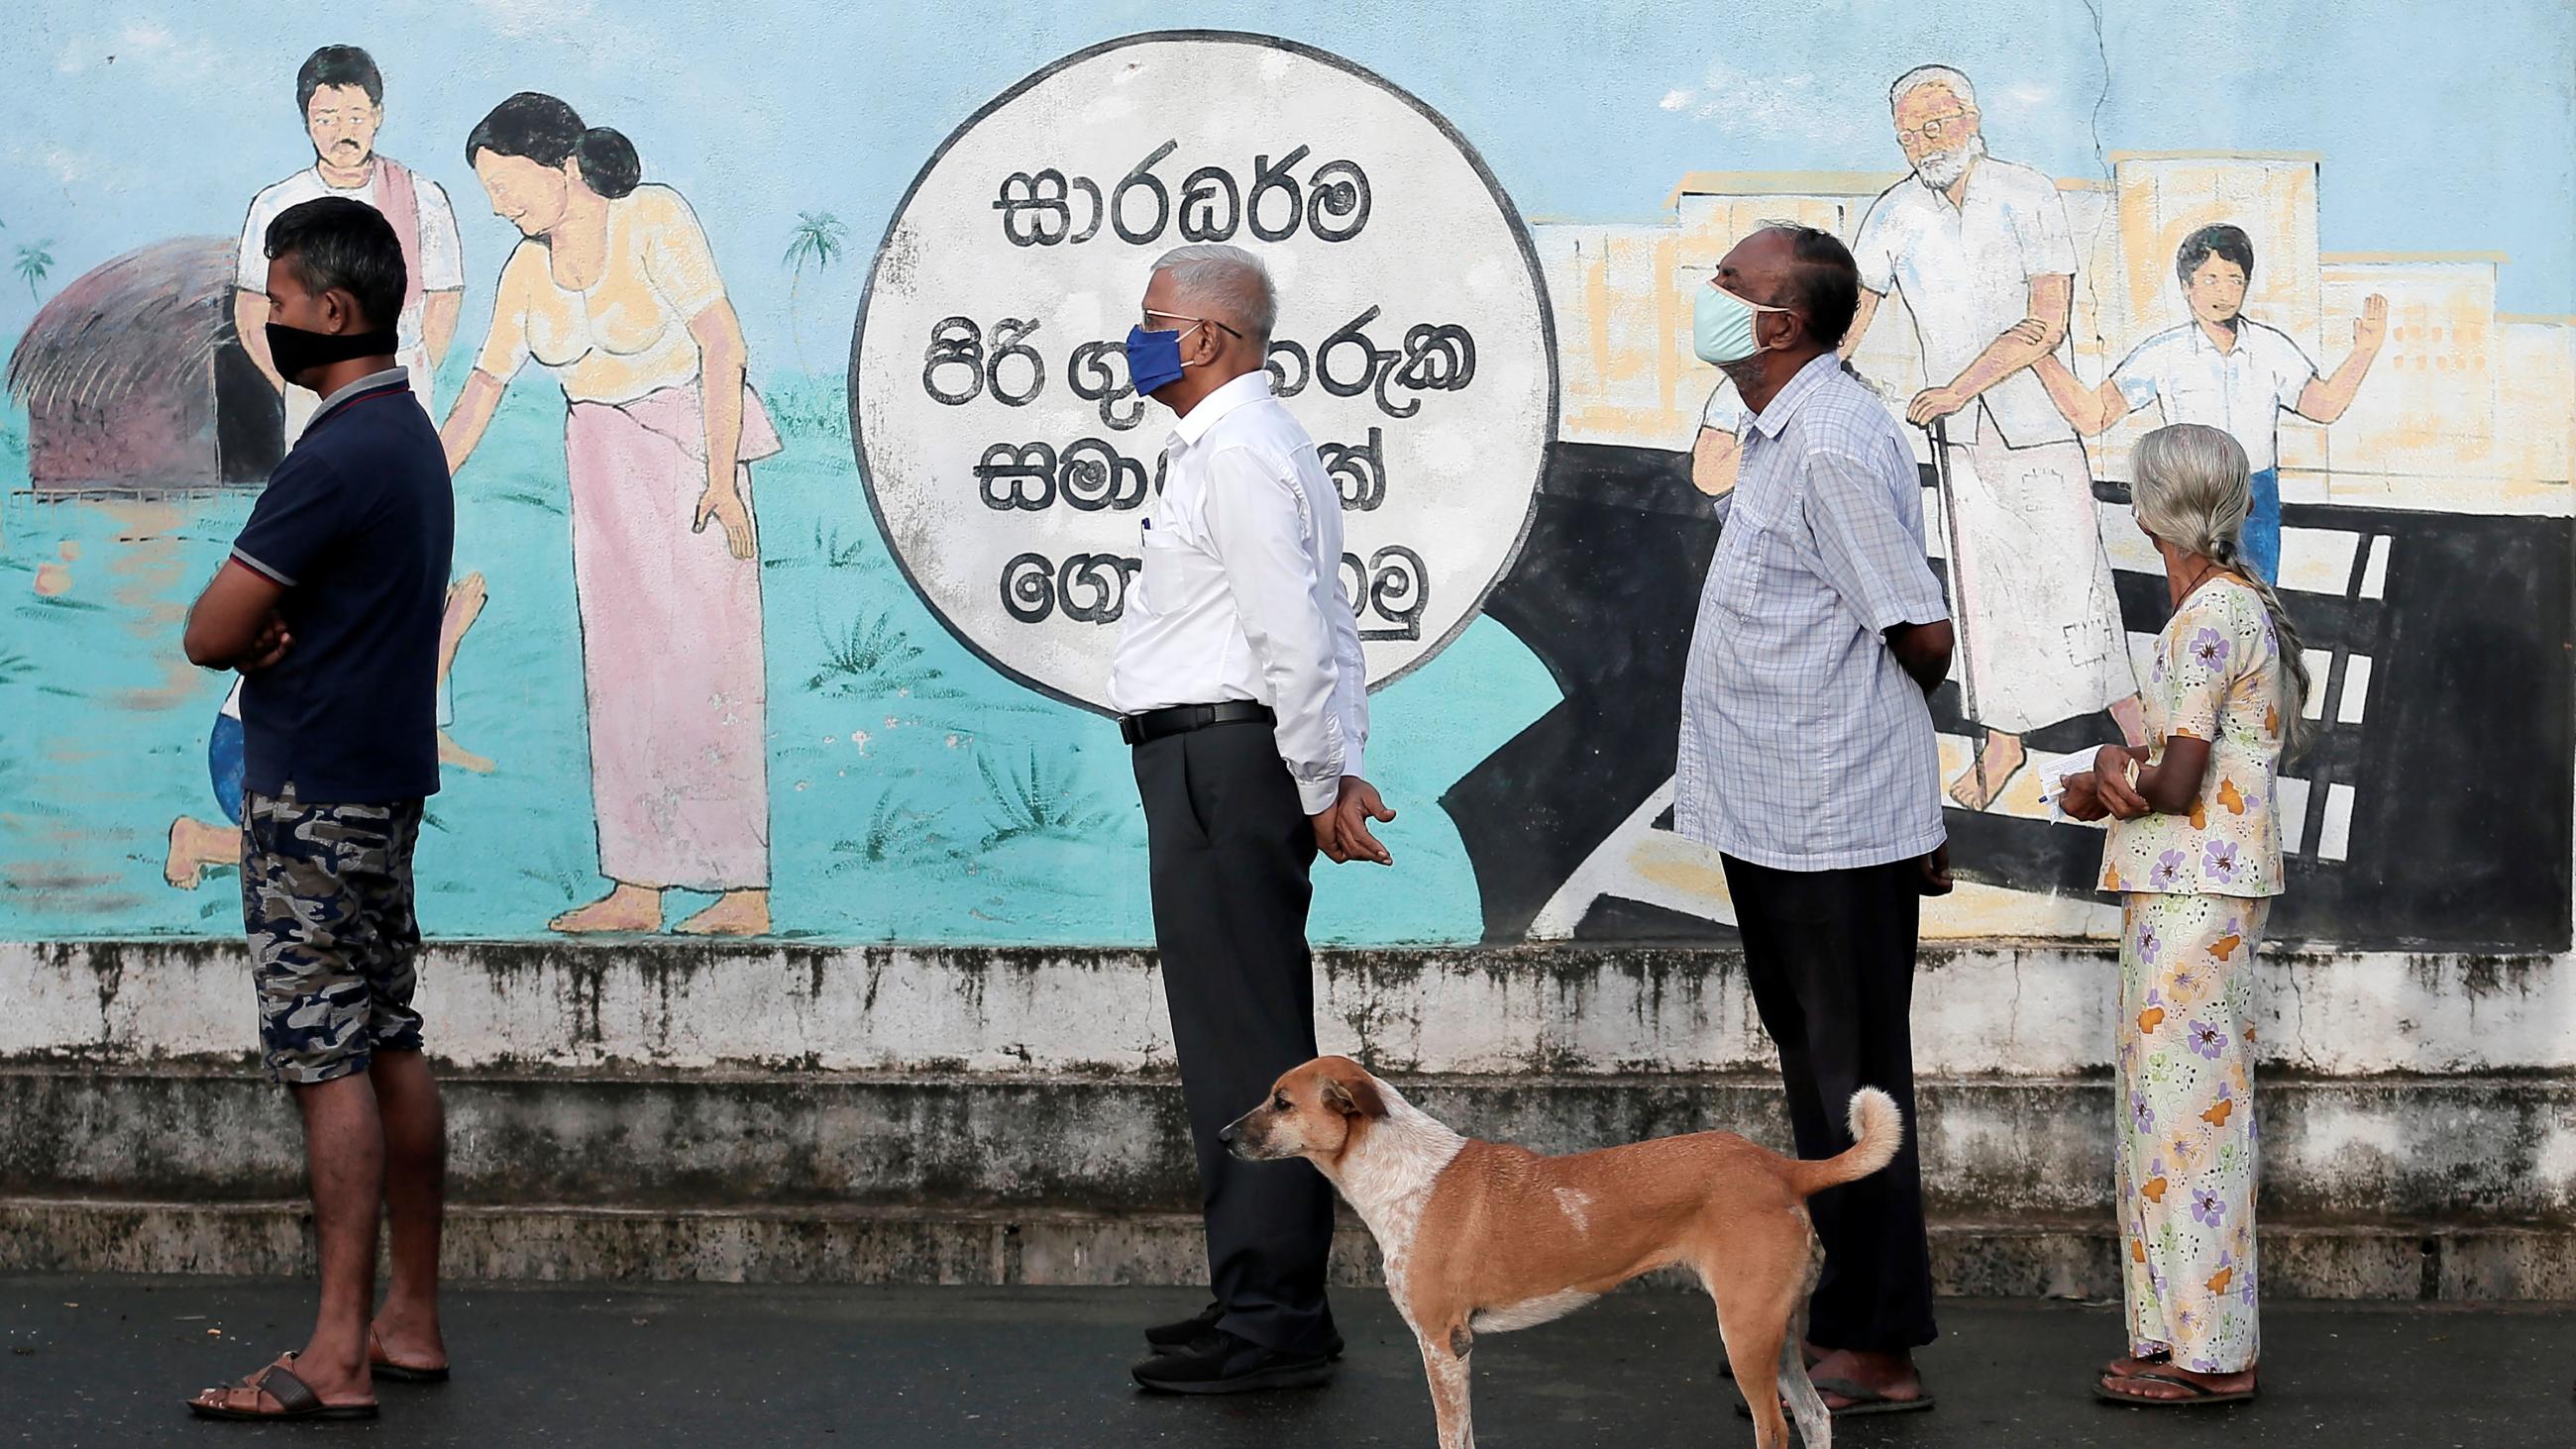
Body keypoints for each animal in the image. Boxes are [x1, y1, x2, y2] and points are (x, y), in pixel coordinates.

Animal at [1216, 1055, 1905, 1449]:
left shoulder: (1442, 1344)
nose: (1220, 1138)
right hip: (1775, 1332)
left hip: (1744, 1332)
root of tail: (1781, 1168)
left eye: (1281, 1102)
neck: (1401, 1173)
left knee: (1776, 1430)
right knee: (1815, 1419)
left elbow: (1452, 1435)